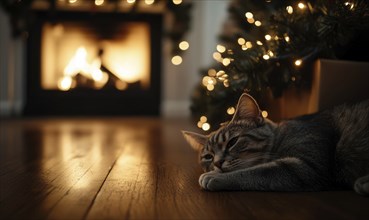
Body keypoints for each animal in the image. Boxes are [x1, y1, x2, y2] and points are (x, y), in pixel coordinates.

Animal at [183, 93, 368, 196]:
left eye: (232, 142)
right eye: (208, 156)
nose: (217, 163)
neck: (281, 136)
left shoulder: (307, 167)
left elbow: (254, 172)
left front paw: (214, 176)